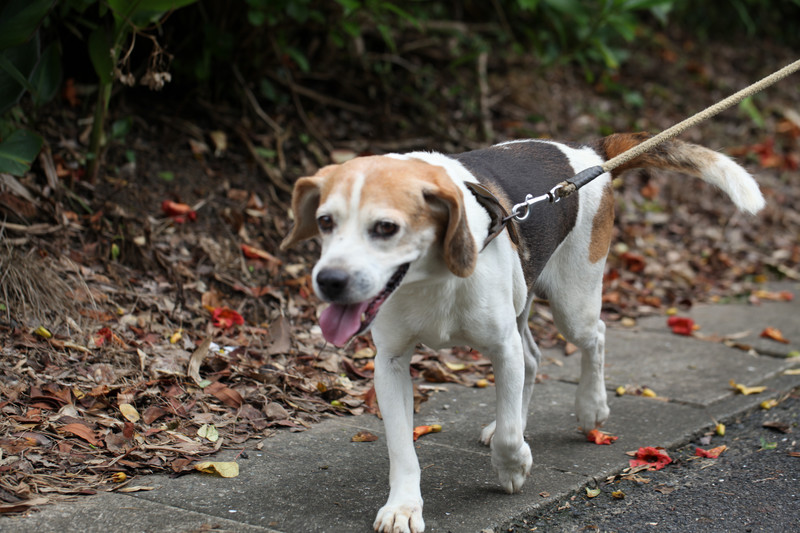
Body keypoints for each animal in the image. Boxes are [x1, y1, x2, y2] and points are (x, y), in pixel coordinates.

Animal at [280, 131, 764, 528]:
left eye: (385, 227)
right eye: (325, 222)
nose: (329, 281)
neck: (431, 276)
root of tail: (587, 154)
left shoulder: (501, 347)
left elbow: (513, 437)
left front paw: (513, 467)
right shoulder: (391, 364)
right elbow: (402, 448)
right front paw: (403, 507)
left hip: (572, 305)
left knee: (595, 336)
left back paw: (591, 406)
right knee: (533, 359)